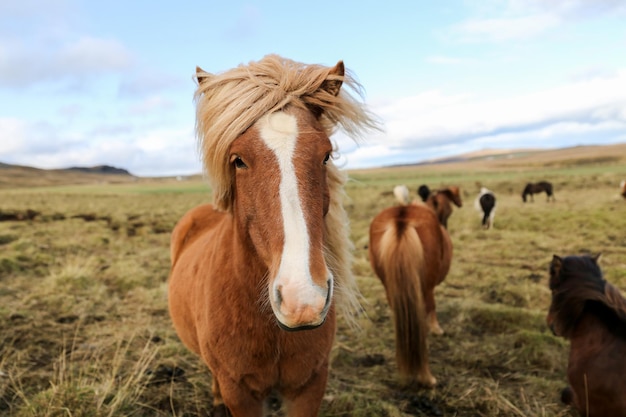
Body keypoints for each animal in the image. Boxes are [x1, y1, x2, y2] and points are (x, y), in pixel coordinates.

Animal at [368, 202, 450, 386]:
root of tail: (402, 217)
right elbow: (432, 308)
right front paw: (436, 329)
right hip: (424, 287)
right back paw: (426, 377)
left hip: (390, 286)